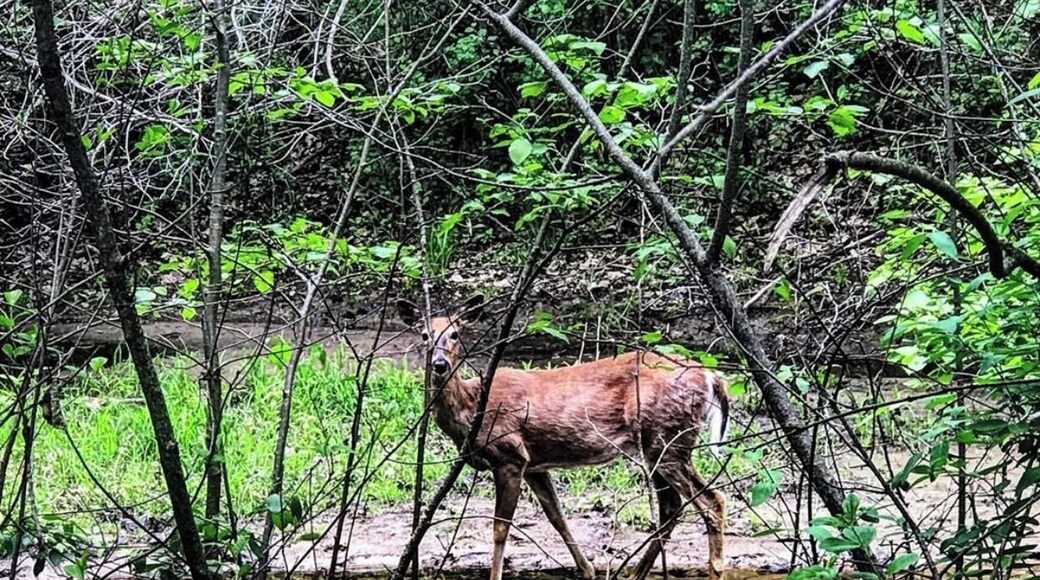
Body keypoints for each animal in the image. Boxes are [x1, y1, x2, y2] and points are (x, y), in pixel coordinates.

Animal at [397, 296, 728, 580]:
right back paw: (634, 573)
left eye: (454, 334)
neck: (472, 406)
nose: (440, 364)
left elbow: (500, 529)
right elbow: (557, 517)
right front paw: (589, 571)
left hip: (666, 439)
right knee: (672, 507)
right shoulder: (535, 464)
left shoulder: (510, 455)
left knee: (712, 501)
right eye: (424, 335)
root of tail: (711, 377)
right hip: (659, 445)